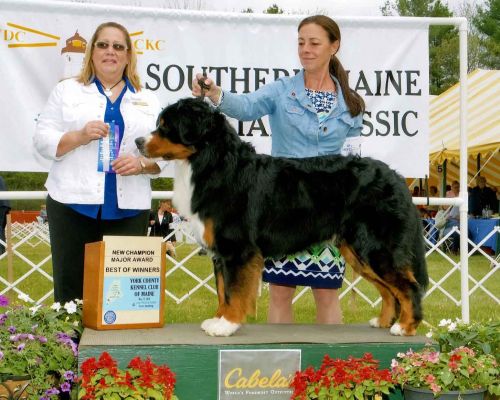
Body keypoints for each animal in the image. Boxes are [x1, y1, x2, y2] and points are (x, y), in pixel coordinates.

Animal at [135, 97, 428, 338]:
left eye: (165, 126)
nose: (138, 142)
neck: (214, 163)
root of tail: (397, 178)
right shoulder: (220, 252)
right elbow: (222, 290)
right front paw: (217, 320)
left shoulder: (235, 248)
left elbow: (232, 291)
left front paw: (226, 324)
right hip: (358, 252)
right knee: (389, 290)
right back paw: (383, 322)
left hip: (376, 247)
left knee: (408, 286)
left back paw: (405, 327)